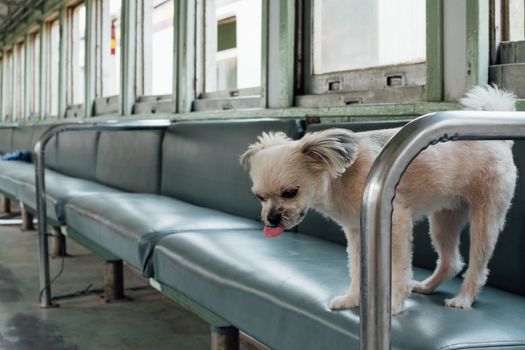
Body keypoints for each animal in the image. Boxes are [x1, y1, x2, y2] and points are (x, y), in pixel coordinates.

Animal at [241, 85, 516, 314]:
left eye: (290, 192)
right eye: (260, 197)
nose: (271, 219)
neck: (340, 177)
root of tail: (500, 140)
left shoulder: (396, 225)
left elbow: (398, 270)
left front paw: (393, 305)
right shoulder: (357, 231)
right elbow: (356, 269)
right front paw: (353, 299)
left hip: (486, 219)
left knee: (478, 265)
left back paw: (463, 299)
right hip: (443, 221)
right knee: (451, 262)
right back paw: (427, 287)